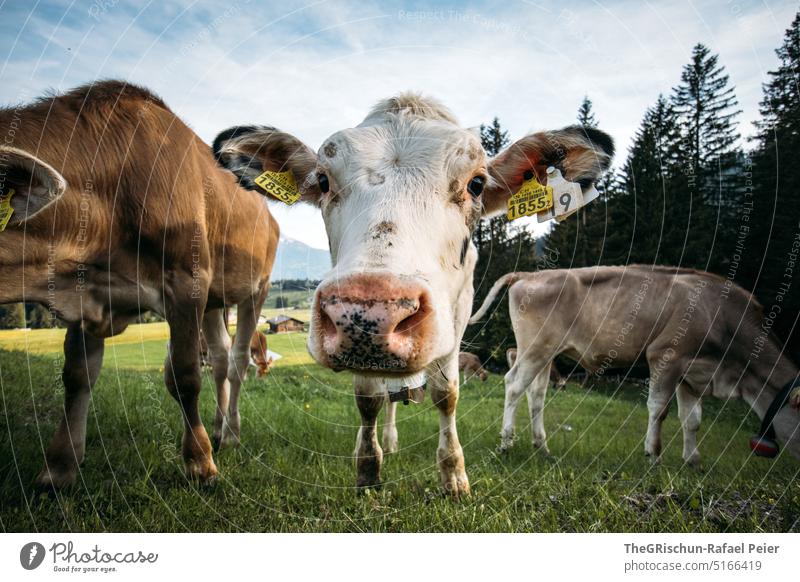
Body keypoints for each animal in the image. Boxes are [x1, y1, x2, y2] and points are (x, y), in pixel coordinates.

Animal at [0, 82, 280, 490]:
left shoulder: (186, 281)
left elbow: (183, 375)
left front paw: (200, 463)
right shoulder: (88, 291)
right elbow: (77, 375)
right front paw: (60, 467)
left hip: (257, 288)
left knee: (238, 361)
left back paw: (229, 433)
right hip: (215, 299)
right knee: (220, 356)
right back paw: (217, 425)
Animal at [212, 93, 612, 496]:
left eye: (476, 184)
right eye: (323, 180)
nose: (372, 312)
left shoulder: (458, 314)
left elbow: (446, 393)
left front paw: (453, 476)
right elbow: (369, 399)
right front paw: (368, 468)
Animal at [468, 268, 800, 466]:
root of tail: (529, 273)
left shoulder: (692, 375)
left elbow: (692, 419)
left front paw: (692, 459)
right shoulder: (665, 356)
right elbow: (659, 409)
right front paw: (653, 454)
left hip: (547, 354)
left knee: (536, 394)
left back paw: (542, 447)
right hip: (535, 347)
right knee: (514, 385)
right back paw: (506, 443)